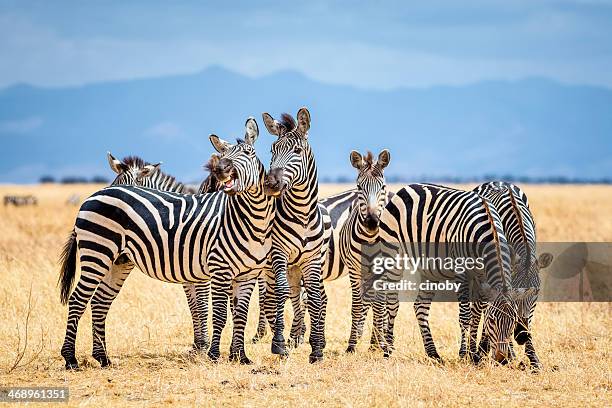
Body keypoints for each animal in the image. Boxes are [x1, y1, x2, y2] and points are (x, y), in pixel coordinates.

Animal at [57, 116, 272, 368]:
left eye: (248, 152)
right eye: (225, 155)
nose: (221, 170)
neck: (250, 218)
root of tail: (91, 197)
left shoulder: (245, 273)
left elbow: (239, 312)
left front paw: (239, 356)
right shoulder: (216, 269)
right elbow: (213, 311)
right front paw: (210, 353)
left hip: (118, 261)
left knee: (100, 301)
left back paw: (103, 357)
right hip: (97, 253)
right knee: (78, 300)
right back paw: (70, 358)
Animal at [260, 107, 328, 364]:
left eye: (297, 151)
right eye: (272, 151)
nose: (270, 184)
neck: (302, 214)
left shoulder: (311, 259)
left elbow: (315, 297)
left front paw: (316, 348)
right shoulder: (278, 253)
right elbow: (280, 293)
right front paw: (278, 344)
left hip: (296, 268)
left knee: (301, 297)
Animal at [342, 149, 394, 354]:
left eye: (383, 186)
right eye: (359, 187)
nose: (372, 222)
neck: (371, 239)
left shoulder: (383, 270)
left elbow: (380, 306)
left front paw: (382, 345)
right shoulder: (354, 270)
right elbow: (358, 305)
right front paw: (351, 345)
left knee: (383, 304)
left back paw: (379, 341)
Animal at [378, 184, 536, 364]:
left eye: (512, 322)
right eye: (492, 320)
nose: (501, 359)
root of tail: (406, 188)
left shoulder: (482, 276)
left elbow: (476, 313)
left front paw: (474, 355)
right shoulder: (462, 273)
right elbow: (466, 316)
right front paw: (463, 354)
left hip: (429, 269)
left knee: (420, 306)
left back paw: (433, 353)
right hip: (393, 254)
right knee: (392, 303)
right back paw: (388, 350)